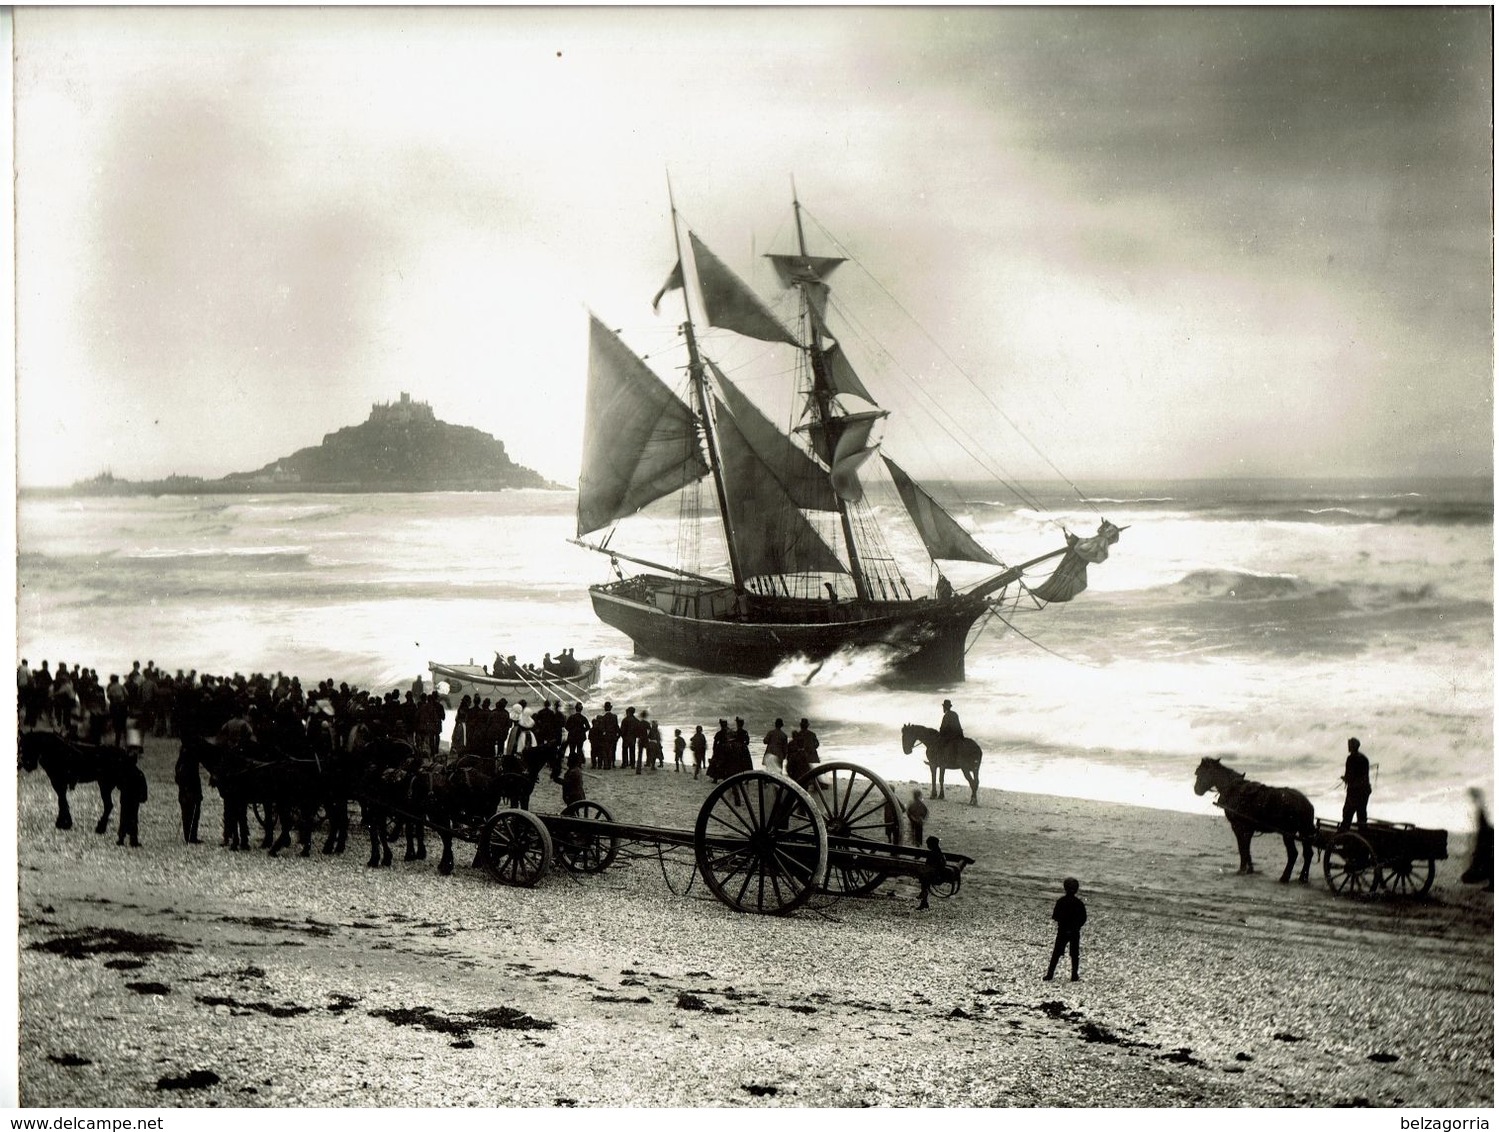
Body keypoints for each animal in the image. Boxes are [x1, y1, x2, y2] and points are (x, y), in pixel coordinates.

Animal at [1187, 761, 1319, 887]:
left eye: (1199, 773)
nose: (1196, 790)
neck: (1233, 789)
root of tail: (1306, 804)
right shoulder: (1248, 829)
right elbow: (1247, 849)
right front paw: (1249, 869)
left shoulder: (1238, 827)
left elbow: (1242, 848)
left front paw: (1242, 869)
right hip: (1303, 833)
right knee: (1308, 854)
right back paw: (1303, 878)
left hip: (1288, 833)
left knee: (1293, 854)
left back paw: (1284, 878)